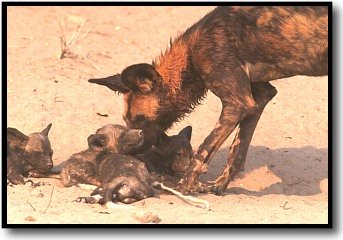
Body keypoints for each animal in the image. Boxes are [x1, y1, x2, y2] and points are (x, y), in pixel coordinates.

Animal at [89, 6, 330, 195]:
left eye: (141, 119)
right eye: (127, 122)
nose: (129, 154)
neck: (189, 58)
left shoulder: (238, 104)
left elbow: (202, 151)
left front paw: (182, 188)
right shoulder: (258, 97)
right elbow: (237, 153)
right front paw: (219, 187)